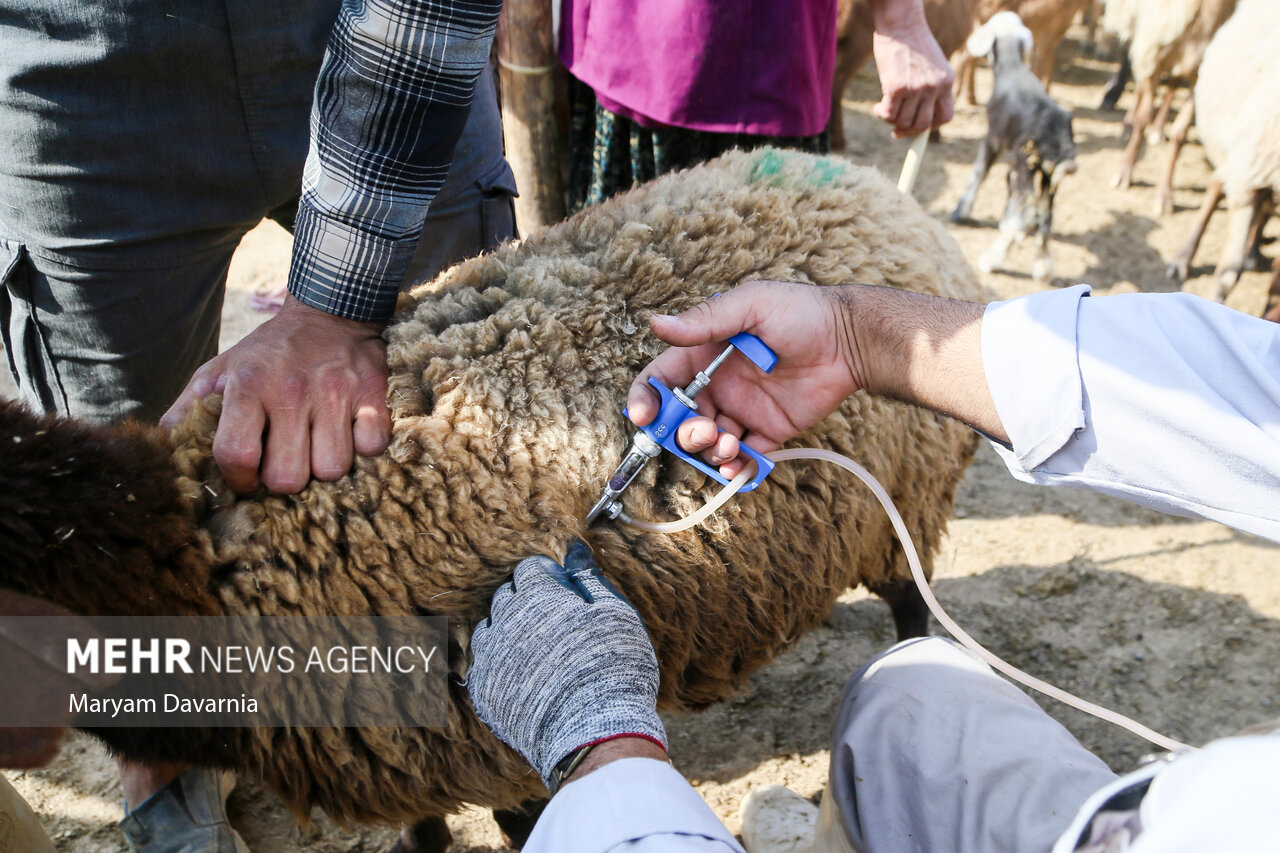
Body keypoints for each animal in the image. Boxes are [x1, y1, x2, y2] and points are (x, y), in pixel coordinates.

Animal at [0, 146, 983, 829]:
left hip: (905, 499)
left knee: (910, 596)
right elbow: (427, 832)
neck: (192, 551)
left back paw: (924, 661)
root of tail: (876, 186)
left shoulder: (472, 736)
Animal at [947, 10, 1075, 281]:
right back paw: (1042, 268)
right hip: (1048, 175)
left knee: (1028, 212)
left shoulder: (994, 139)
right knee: (1045, 216)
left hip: (1027, 165)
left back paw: (991, 258)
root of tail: (1061, 139)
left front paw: (961, 210)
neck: (1012, 69)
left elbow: (979, 171)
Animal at [1105, 0, 1233, 212]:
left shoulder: (1199, 76)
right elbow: (1143, 119)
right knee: (1138, 83)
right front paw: (1124, 171)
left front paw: (1164, 195)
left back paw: (1157, 128)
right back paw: (1127, 123)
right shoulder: (1152, 57)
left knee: (1173, 84)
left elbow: (1180, 133)